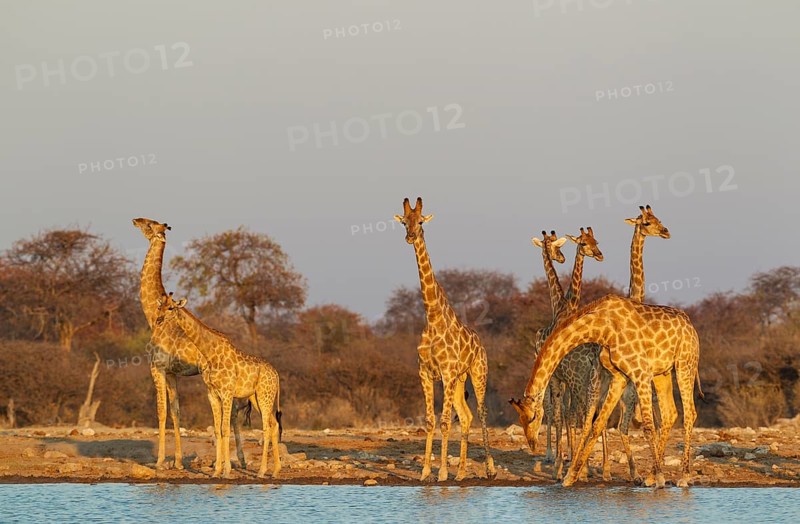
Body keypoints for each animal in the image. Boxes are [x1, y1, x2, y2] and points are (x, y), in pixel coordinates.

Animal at [132, 218, 248, 471]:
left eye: (149, 225)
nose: (135, 220)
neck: (152, 317)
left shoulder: (157, 367)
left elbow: (161, 411)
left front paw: (160, 461)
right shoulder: (172, 372)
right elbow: (176, 412)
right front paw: (177, 462)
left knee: (231, 411)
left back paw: (231, 462)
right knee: (234, 411)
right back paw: (238, 462)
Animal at [155, 292, 282, 479]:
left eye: (171, 307)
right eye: (159, 307)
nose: (158, 320)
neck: (210, 352)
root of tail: (277, 375)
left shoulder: (227, 393)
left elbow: (225, 429)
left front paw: (226, 470)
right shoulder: (212, 394)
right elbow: (216, 430)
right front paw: (216, 471)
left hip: (265, 396)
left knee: (266, 427)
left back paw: (261, 471)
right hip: (257, 398)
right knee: (274, 424)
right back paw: (276, 470)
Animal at [394, 197, 496, 482]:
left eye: (420, 222)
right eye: (404, 222)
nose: (410, 237)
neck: (432, 317)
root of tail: (481, 344)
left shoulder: (447, 372)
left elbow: (444, 422)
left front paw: (440, 473)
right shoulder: (426, 372)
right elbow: (430, 421)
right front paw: (426, 471)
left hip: (477, 372)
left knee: (480, 412)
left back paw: (490, 468)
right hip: (460, 380)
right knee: (467, 416)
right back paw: (460, 473)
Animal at [510, 294, 702, 488]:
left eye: (532, 418)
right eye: (521, 420)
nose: (532, 444)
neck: (602, 328)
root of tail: (691, 326)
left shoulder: (640, 372)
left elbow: (648, 426)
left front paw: (661, 479)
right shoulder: (619, 376)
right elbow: (597, 424)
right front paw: (570, 476)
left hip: (684, 363)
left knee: (689, 413)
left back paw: (683, 477)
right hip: (662, 373)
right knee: (670, 414)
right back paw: (650, 477)